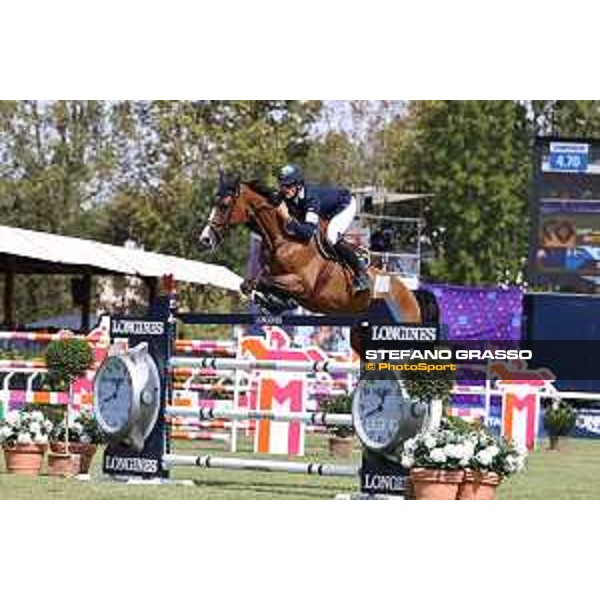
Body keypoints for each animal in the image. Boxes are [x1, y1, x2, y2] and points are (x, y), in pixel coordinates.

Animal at [199, 173, 420, 324]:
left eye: (224, 205)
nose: (205, 240)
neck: (283, 239)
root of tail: (410, 296)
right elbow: (249, 284)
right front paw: (275, 303)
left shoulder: (302, 284)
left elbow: (263, 281)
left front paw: (277, 302)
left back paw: (361, 280)